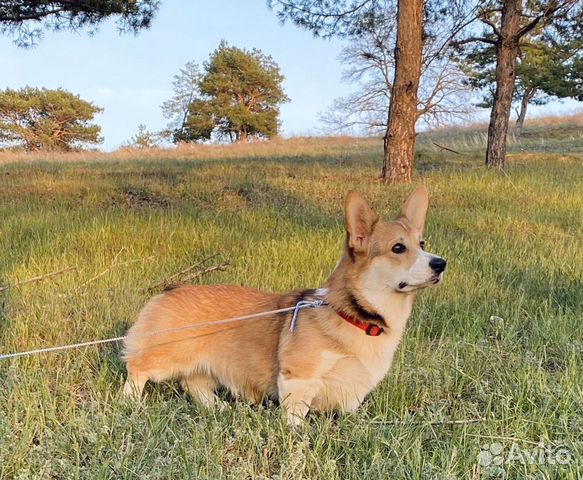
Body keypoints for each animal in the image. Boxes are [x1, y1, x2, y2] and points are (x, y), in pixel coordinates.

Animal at [124, 188, 448, 424]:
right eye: (398, 248)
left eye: (422, 243)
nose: (441, 264)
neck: (354, 315)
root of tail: (170, 289)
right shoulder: (298, 377)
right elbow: (295, 415)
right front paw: (296, 437)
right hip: (165, 357)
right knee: (137, 369)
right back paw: (129, 404)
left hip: (203, 365)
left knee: (194, 385)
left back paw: (220, 409)